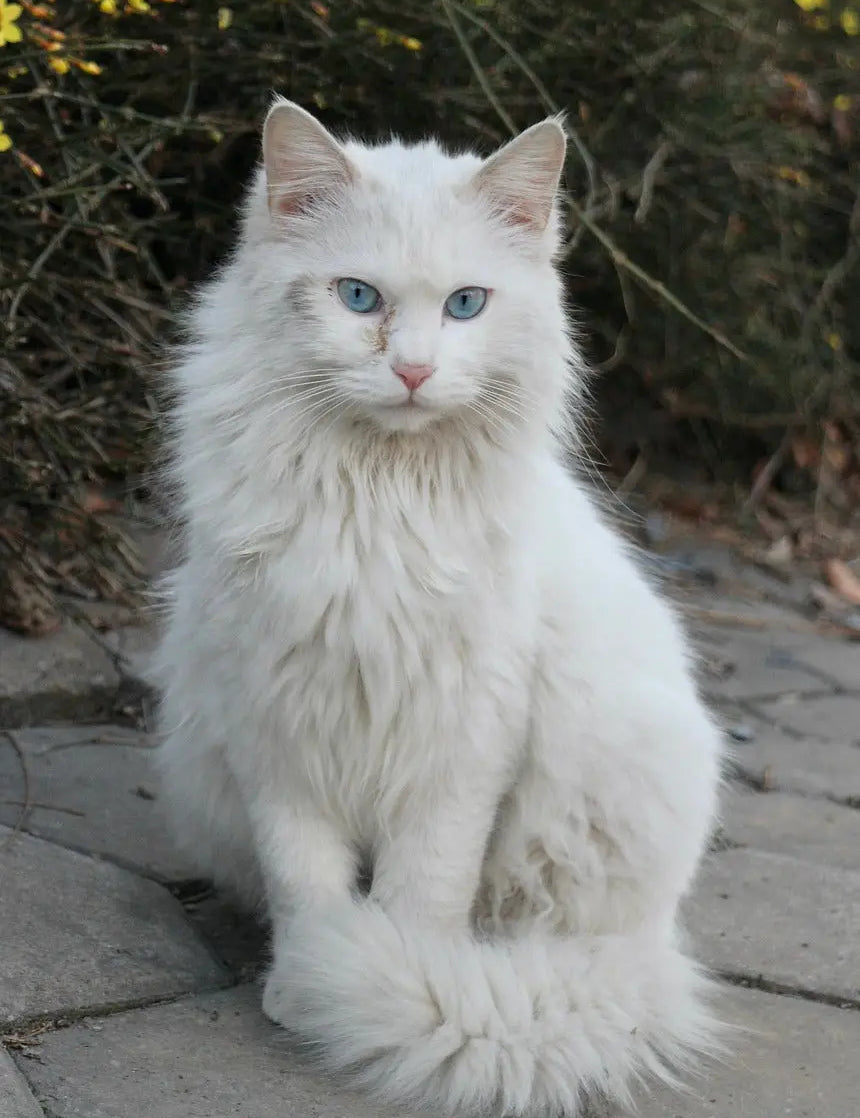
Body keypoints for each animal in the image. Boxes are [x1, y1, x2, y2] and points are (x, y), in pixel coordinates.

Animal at [152, 98, 715, 1118]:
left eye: (465, 306)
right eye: (358, 298)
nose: (412, 372)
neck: (376, 497)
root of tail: (652, 942)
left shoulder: (462, 744)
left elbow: (421, 892)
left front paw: (378, 977)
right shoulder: (277, 729)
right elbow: (307, 884)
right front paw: (313, 981)